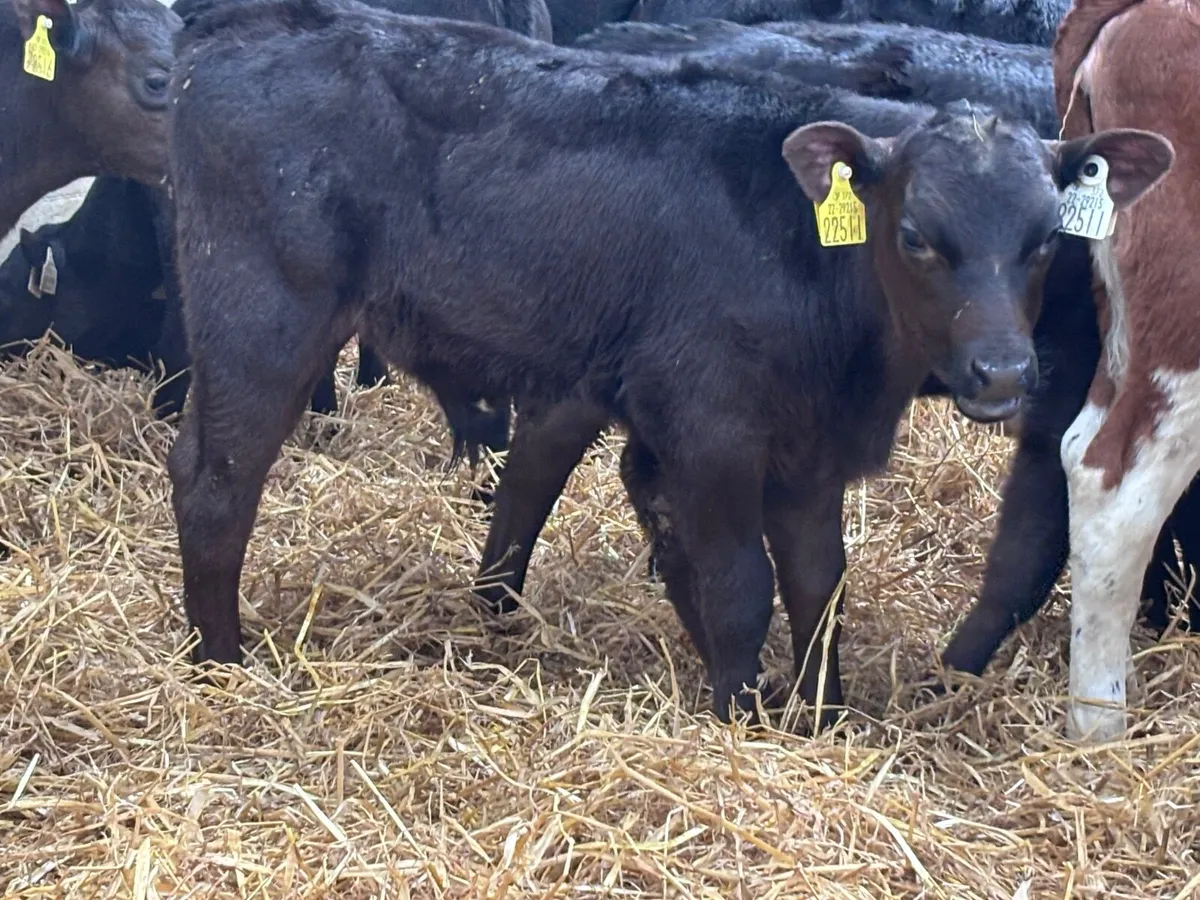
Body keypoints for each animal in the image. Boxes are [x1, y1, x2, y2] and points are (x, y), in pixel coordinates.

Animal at [164, 0, 1169, 725]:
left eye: (1048, 239)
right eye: (918, 236)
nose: (1004, 372)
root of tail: (237, 25)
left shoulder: (809, 450)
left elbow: (820, 586)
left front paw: (824, 719)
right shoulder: (710, 428)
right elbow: (739, 588)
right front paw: (739, 718)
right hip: (264, 311)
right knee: (217, 480)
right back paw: (221, 664)